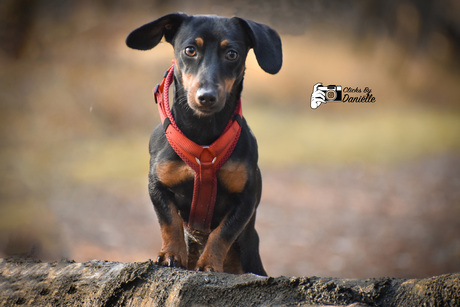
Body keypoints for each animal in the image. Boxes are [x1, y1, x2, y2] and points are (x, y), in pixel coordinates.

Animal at [127, 12, 282, 276]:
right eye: (190, 50)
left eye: (232, 54)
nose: (207, 97)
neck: (203, 133)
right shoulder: (157, 185)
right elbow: (169, 221)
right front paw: (171, 254)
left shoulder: (246, 199)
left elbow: (222, 233)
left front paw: (210, 263)